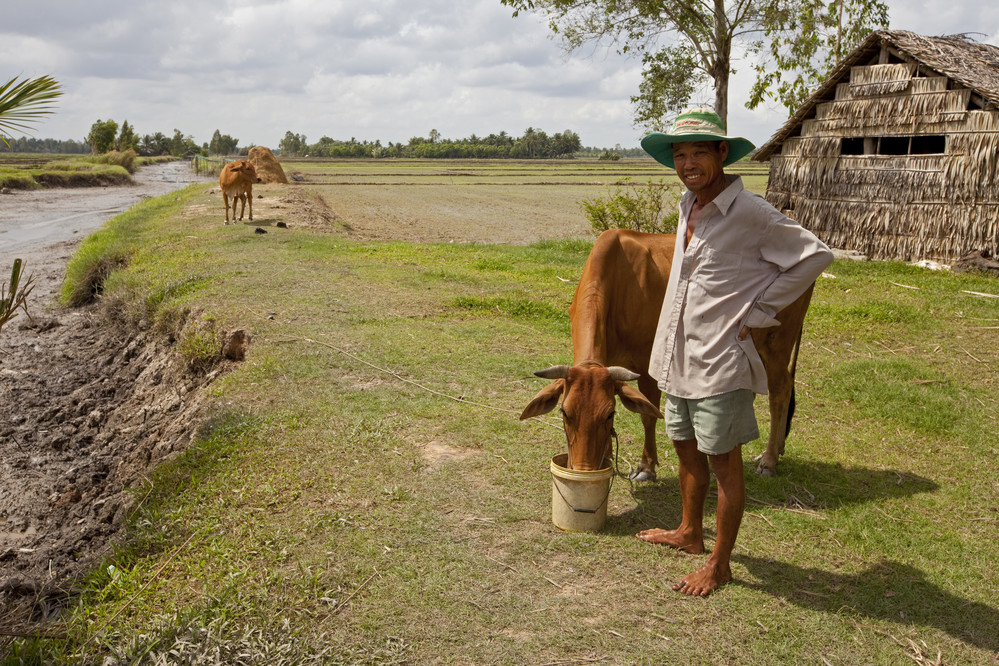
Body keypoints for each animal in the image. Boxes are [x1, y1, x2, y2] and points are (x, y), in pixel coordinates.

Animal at [524, 230, 820, 478]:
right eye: (565, 413)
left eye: (609, 414)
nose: (583, 467)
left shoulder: (645, 362)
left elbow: (647, 414)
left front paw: (646, 466)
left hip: (776, 343)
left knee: (780, 390)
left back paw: (768, 460)